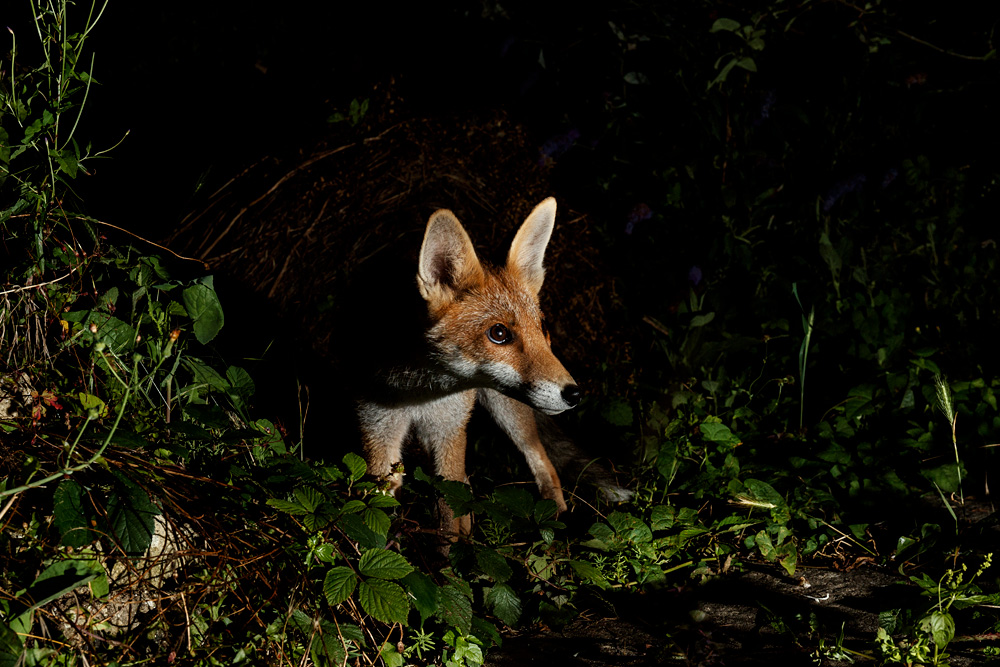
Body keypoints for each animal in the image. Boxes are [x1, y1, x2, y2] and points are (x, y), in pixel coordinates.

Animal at [356, 197, 581, 537]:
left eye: (542, 328)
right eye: (498, 334)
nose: (573, 394)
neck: (418, 392)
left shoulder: (449, 431)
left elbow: (449, 518)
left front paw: (454, 550)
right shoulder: (379, 430)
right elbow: (378, 512)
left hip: (508, 414)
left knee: (544, 463)